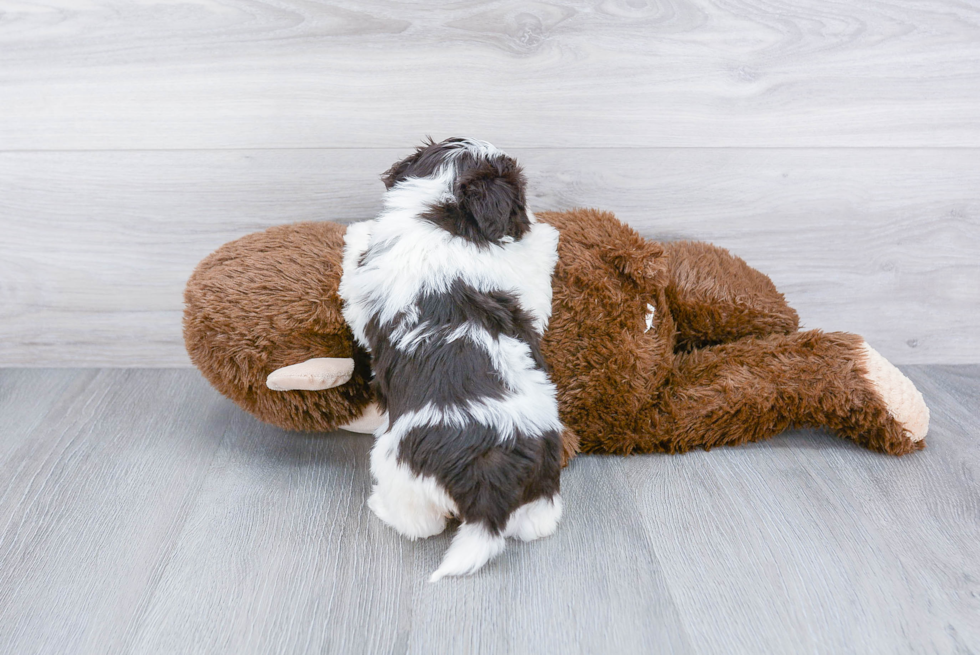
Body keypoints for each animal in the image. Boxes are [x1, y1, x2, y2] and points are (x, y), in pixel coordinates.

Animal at [340, 137, 564, 580]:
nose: (527, 215)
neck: (444, 217)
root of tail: (490, 486)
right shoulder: (523, 287)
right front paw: (544, 233)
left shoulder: (362, 290)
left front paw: (355, 232)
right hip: (541, 481)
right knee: (539, 520)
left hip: (398, 469)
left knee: (419, 524)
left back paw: (380, 507)